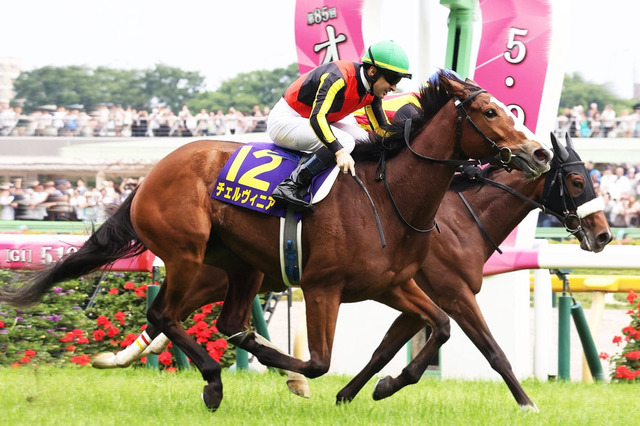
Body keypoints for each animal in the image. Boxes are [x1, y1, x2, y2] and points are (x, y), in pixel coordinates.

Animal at [0, 70, 552, 411]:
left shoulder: (394, 284)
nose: (539, 153)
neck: (389, 197)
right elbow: (320, 360)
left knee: (220, 320)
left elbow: (437, 327)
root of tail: (151, 173)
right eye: (488, 111)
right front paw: (296, 374)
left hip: (239, 264)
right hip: (185, 253)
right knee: (164, 314)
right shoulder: (324, 287)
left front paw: (385, 385)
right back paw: (214, 380)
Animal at [91, 132, 611, 412]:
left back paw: (117, 358)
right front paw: (527, 402)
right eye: (577, 180)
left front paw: (360, 390)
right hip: (209, 268)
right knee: (167, 313)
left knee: (175, 316)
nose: (604, 235)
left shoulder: (410, 292)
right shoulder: (452, 292)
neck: (457, 217)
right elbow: (492, 350)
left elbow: (387, 349)